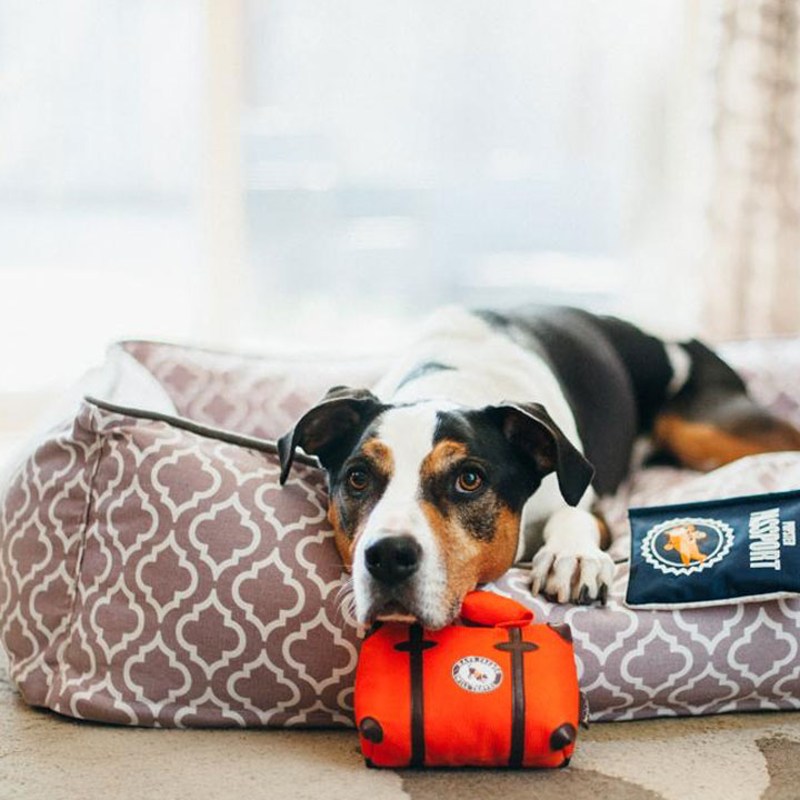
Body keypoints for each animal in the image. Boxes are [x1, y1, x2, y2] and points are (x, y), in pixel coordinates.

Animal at [278, 305, 800, 629]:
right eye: (358, 478)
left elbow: (571, 516)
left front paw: (573, 557)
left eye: (470, 479)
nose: (387, 556)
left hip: (702, 427)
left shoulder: (589, 501)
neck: (451, 380)